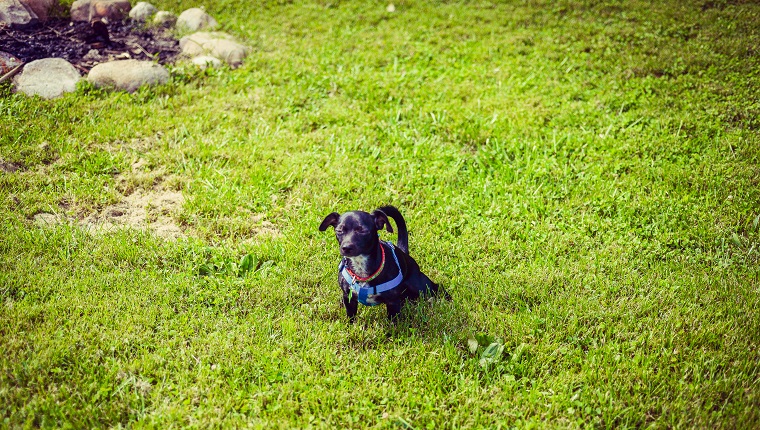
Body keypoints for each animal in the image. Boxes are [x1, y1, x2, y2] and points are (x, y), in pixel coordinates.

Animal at [318, 206, 448, 322]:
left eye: (363, 231)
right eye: (339, 231)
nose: (346, 248)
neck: (361, 267)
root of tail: (403, 252)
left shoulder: (393, 303)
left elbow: (393, 324)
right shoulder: (348, 298)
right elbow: (351, 318)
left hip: (420, 286)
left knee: (437, 287)